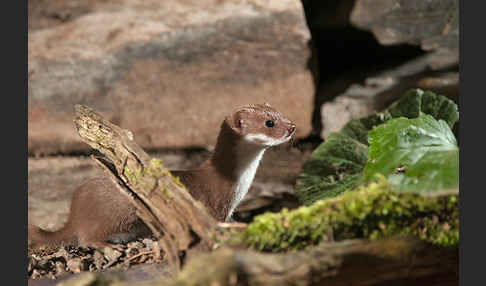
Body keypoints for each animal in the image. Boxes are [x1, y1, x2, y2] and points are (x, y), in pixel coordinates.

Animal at [30, 104, 298, 249]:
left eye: (280, 113)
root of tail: (74, 211)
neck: (238, 185)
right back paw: (108, 246)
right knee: (86, 238)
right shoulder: (215, 205)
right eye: (269, 122)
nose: (292, 126)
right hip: (114, 216)